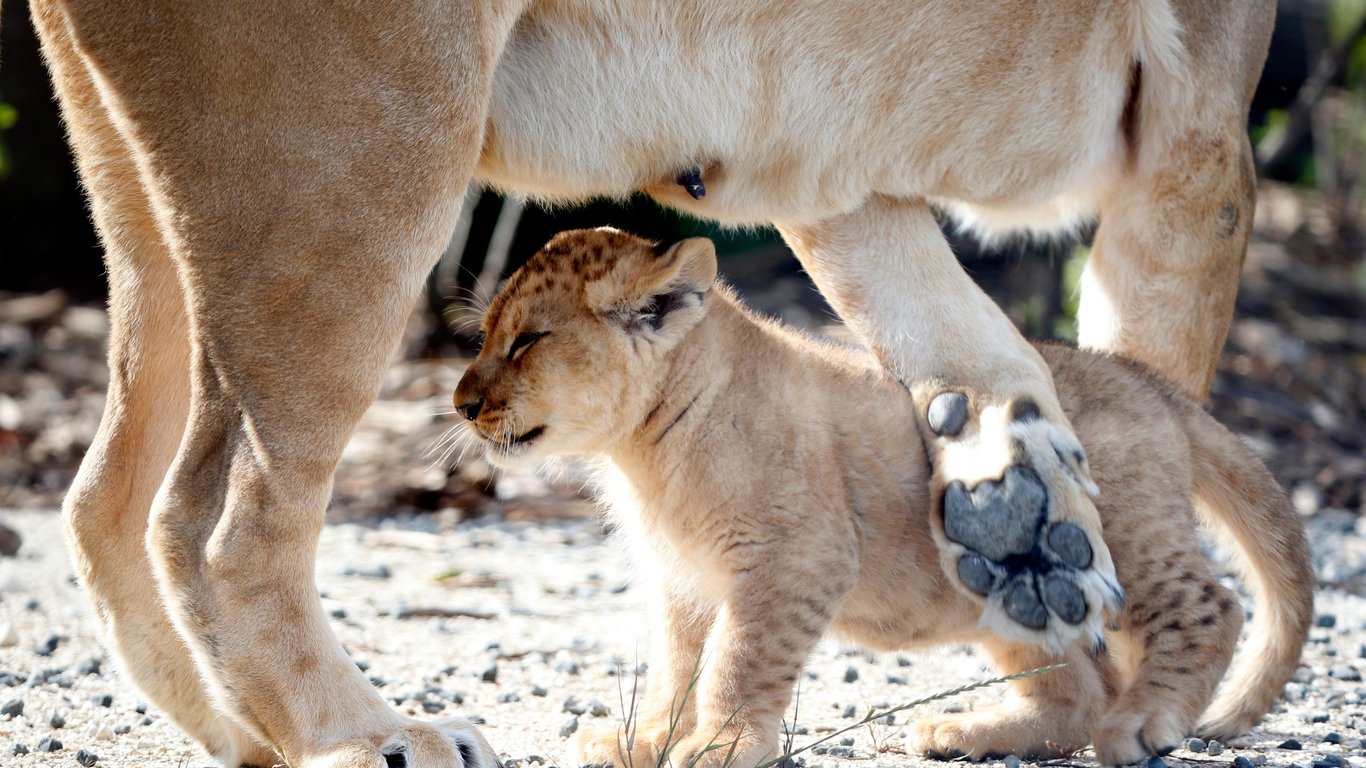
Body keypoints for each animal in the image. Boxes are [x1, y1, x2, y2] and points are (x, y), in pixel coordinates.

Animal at [454, 228, 1313, 768]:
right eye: (486, 336)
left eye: (527, 341)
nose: (460, 403)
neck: (642, 446)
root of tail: (1149, 382)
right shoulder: (684, 581)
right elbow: (677, 666)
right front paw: (649, 742)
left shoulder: (797, 557)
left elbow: (737, 660)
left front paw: (722, 746)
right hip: (1012, 591)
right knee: (1074, 691)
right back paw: (967, 733)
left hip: (1122, 533)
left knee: (1211, 607)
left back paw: (1143, 724)